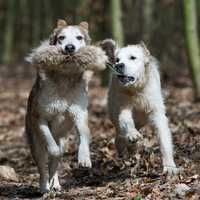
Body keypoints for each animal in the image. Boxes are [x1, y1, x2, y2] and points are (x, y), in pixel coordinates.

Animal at [105, 39, 177, 174]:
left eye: (132, 57)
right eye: (117, 59)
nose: (118, 65)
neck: (137, 90)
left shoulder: (157, 113)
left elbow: (164, 140)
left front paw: (169, 167)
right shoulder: (123, 107)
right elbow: (126, 120)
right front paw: (132, 135)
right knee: (120, 135)